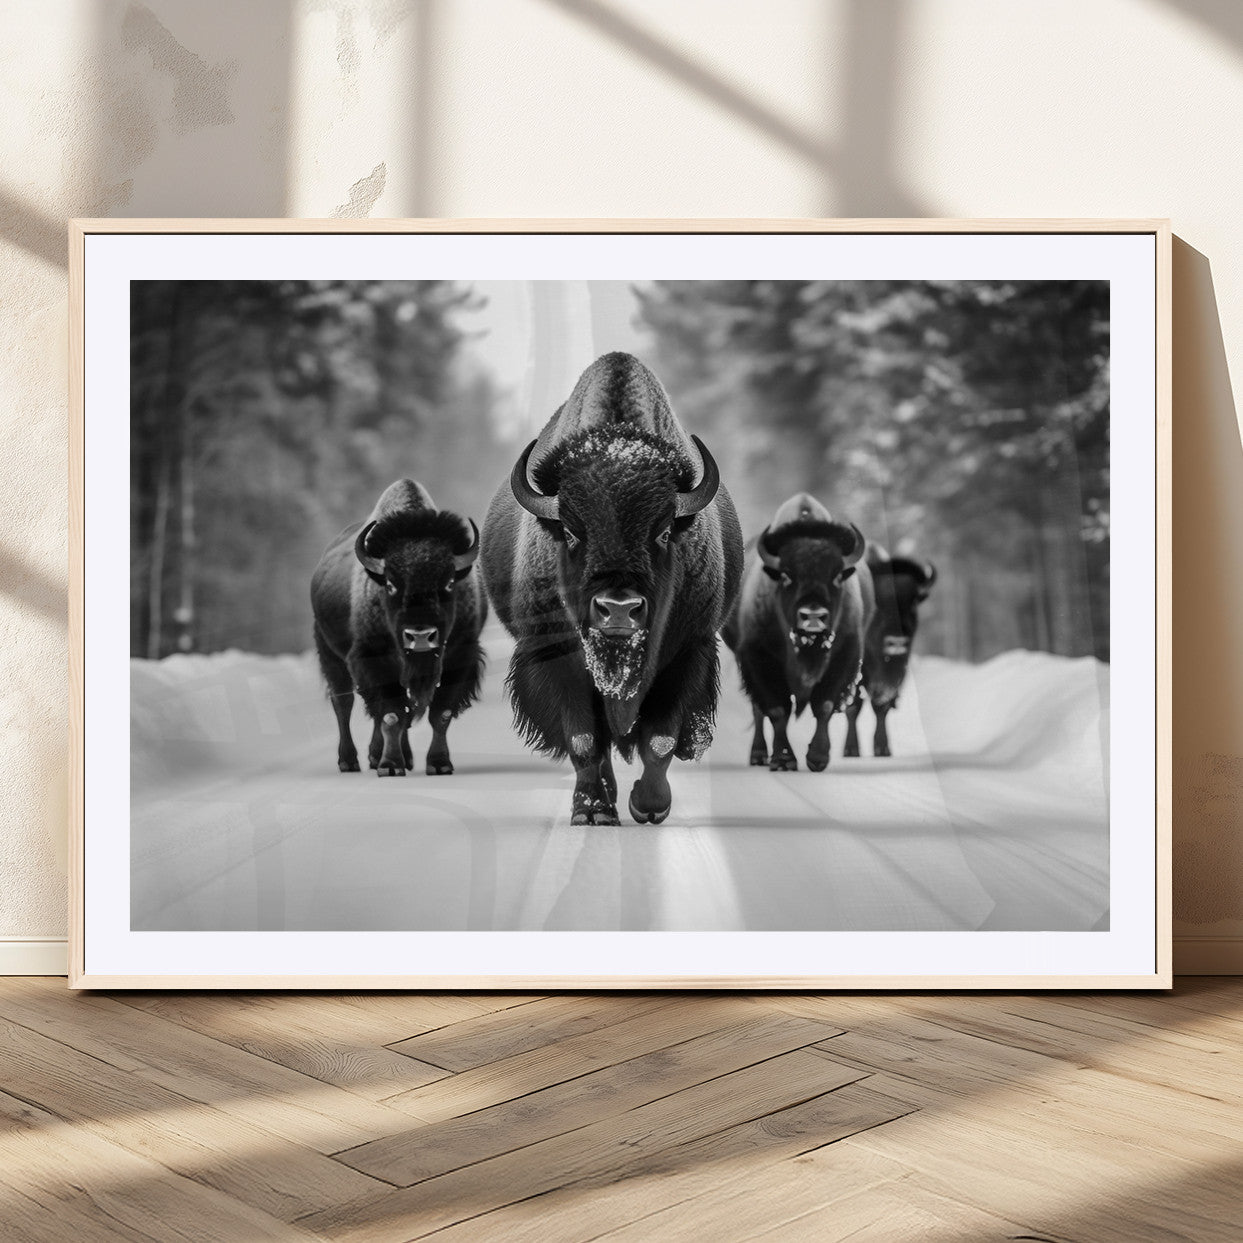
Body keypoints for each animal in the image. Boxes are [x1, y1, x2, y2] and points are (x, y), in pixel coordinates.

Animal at [311, 480, 486, 777]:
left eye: (449, 582)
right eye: (391, 585)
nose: (420, 636)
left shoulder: (460, 658)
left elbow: (440, 714)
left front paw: (439, 764)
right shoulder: (373, 660)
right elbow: (391, 714)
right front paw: (390, 766)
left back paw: (388, 756)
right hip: (331, 657)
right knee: (343, 705)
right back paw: (349, 761)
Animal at [481, 352, 743, 825]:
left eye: (663, 532)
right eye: (570, 532)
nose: (618, 609)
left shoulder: (688, 652)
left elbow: (660, 739)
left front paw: (649, 806)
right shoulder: (560, 659)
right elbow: (584, 739)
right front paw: (592, 812)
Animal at [723, 494, 874, 772]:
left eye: (837, 576)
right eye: (786, 576)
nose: (813, 615)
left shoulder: (844, 655)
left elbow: (824, 706)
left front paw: (817, 757)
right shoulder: (759, 657)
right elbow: (777, 710)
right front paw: (783, 759)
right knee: (758, 709)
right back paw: (759, 755)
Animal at [843, 546, 936, 757]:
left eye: (913, 603)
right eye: (878, 604)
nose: (897, 642)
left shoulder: (896, 674)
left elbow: (881, 708)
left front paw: (882, 748)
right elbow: (853, 707)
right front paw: (851, 750)